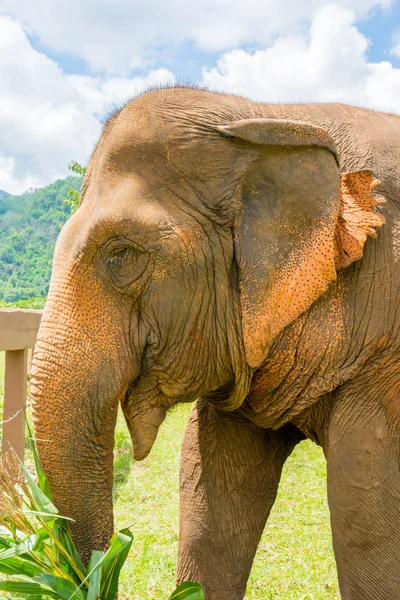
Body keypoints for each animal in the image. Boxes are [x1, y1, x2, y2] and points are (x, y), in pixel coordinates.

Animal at [29, 88, 400, 600]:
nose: (96, 578)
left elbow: (364, 508)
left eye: (122, 254)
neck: (267, 117)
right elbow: (211, 487)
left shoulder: (385, 356)